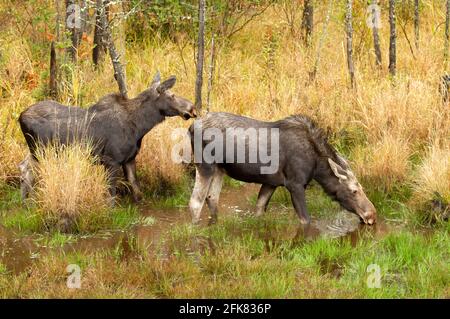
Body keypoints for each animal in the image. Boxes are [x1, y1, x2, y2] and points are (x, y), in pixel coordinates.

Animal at [18, 73, 195, 202]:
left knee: (23, 166)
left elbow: (136, 188)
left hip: (35, 151)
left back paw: (26, 200)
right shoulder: (111, 159)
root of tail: (20, 117)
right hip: (41, 151)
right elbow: (111, 192)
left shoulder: (129, 159)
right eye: (172, 95)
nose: (192, 108)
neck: (140, 127)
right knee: (28, 169)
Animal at [188, 112, 378, 228]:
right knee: (195, 202)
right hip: (204, 165)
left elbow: (259, 208)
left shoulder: (271, 183)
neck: (317, 167)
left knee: (212, 197)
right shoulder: (295, 184)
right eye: (354, 191)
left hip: (220, 169)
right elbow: (306, 220)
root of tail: (190, 128)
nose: (372, 215)